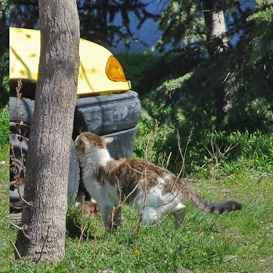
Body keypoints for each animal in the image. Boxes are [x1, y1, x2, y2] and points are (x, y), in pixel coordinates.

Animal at [74, 132, 240, 232]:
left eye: (77, 139)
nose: (75, 135)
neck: (98, 161)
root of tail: (178, 181)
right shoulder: (117, 203)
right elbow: (117, 219)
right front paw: (116, 231)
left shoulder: (105, 204)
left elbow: (107, 221)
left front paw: (110, 235)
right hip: (167, 204)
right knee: (182, 208)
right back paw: (175, 229)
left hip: (145, 208)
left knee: (154, 224)